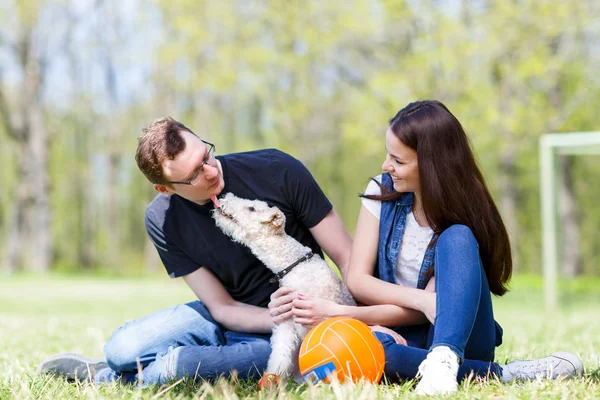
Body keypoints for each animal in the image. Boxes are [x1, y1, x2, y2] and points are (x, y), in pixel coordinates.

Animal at [212, 193, 356, 378]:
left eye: (252, 208)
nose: (225, 196)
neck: (294, 265)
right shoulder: (287, 324)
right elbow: (280, 356)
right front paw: (272, 380)